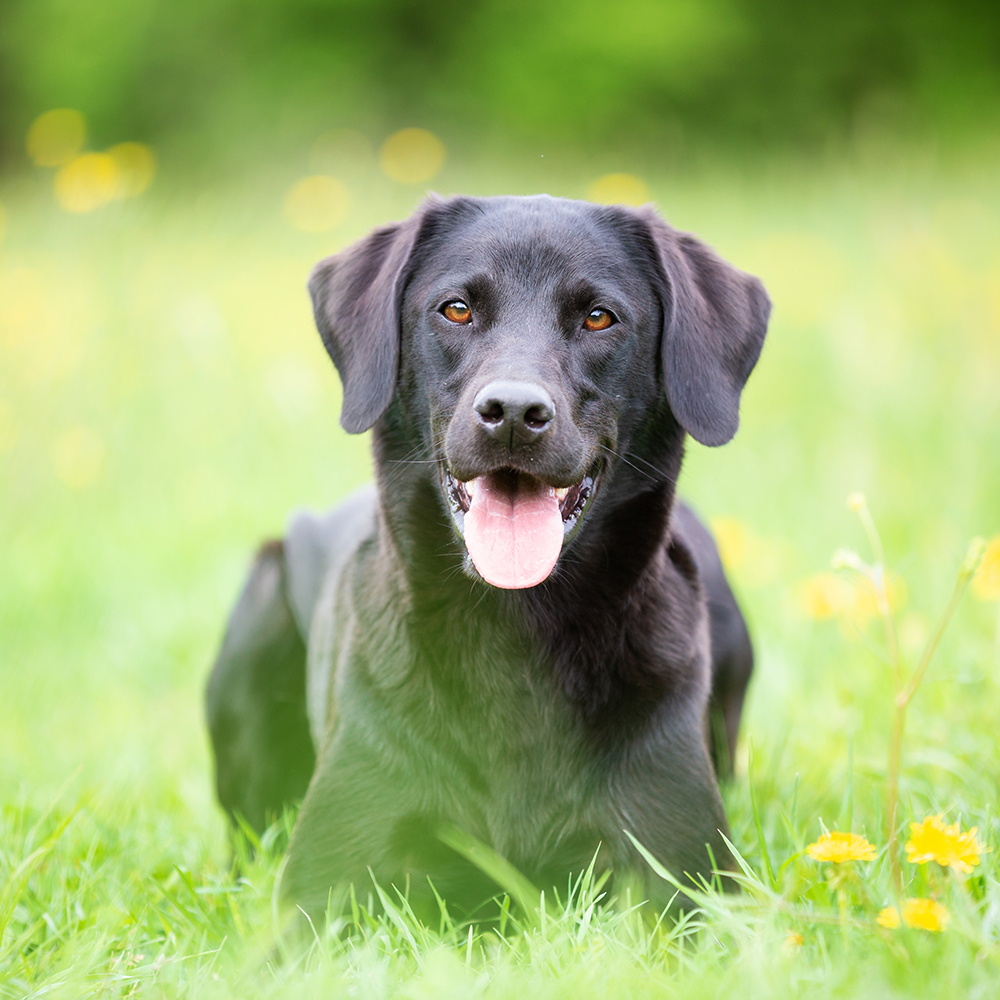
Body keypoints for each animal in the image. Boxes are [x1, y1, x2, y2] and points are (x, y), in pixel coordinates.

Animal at [201, 191, 764, 916]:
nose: (514, 413)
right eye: (456, 309)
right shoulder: (322, 889)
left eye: (599, 317)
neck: (516, 633)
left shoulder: (687, 883)